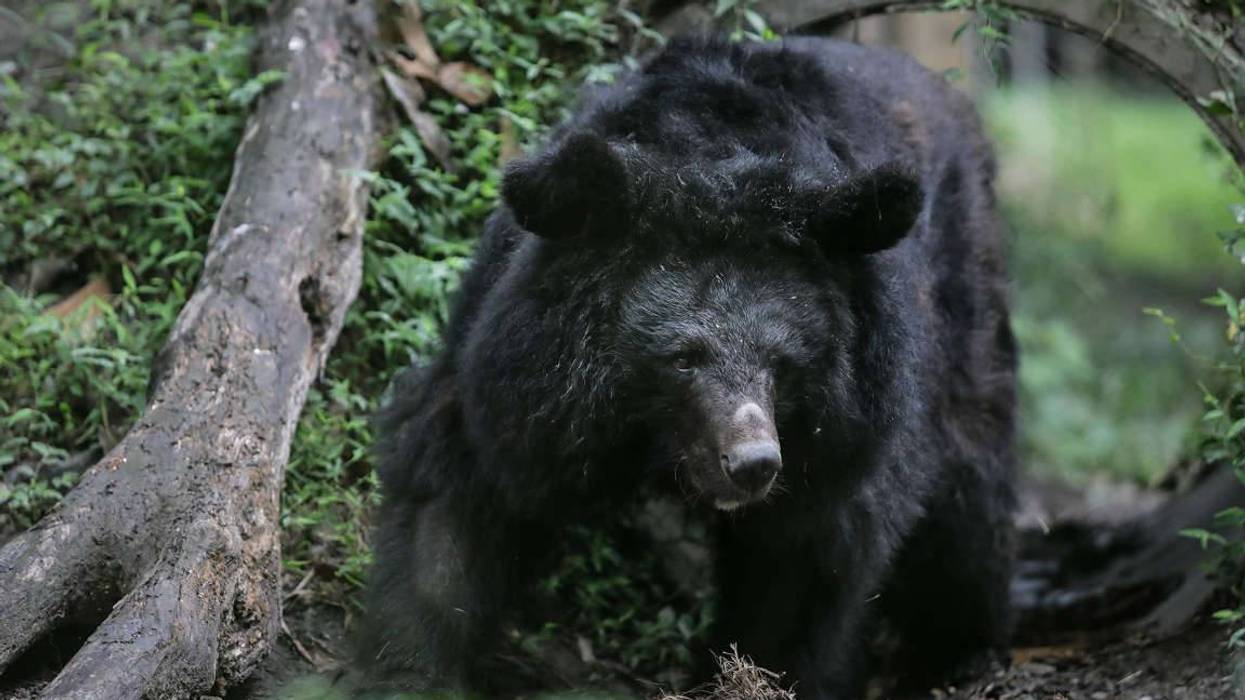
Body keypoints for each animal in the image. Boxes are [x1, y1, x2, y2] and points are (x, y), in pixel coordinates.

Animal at [359, 35, 1017, 699]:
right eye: (681, 360)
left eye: (782, 363)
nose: (753, 464)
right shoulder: (512, 368)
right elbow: (453, 507)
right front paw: (409, 665)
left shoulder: (844, 431)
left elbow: (808, 562)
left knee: (967, 496)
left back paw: (957, 648)